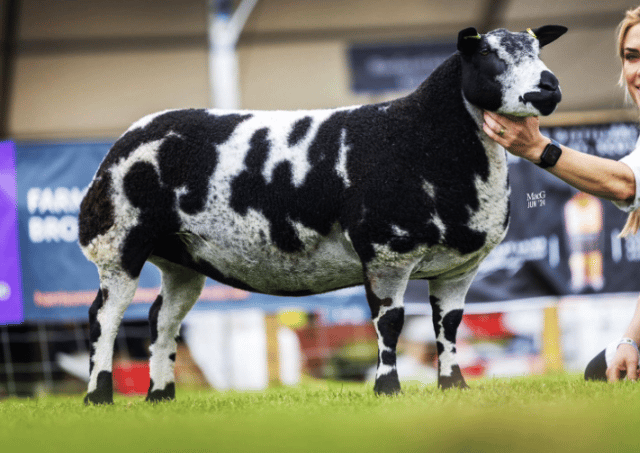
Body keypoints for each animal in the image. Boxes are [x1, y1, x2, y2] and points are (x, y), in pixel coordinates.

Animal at [79, 26, 564, 404]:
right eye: (488, 54)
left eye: (538, 49)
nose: (548, 87)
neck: (422, 136)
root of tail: (128, 136)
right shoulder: (387, 253)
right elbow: (390, 323)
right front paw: (387, 389)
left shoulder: (459, 268)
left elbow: (448, 325)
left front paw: (454, 387)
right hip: (117, 242)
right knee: (105, 316)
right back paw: (98, 396)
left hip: (181, 259)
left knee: (162, 318)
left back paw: (160, 396)